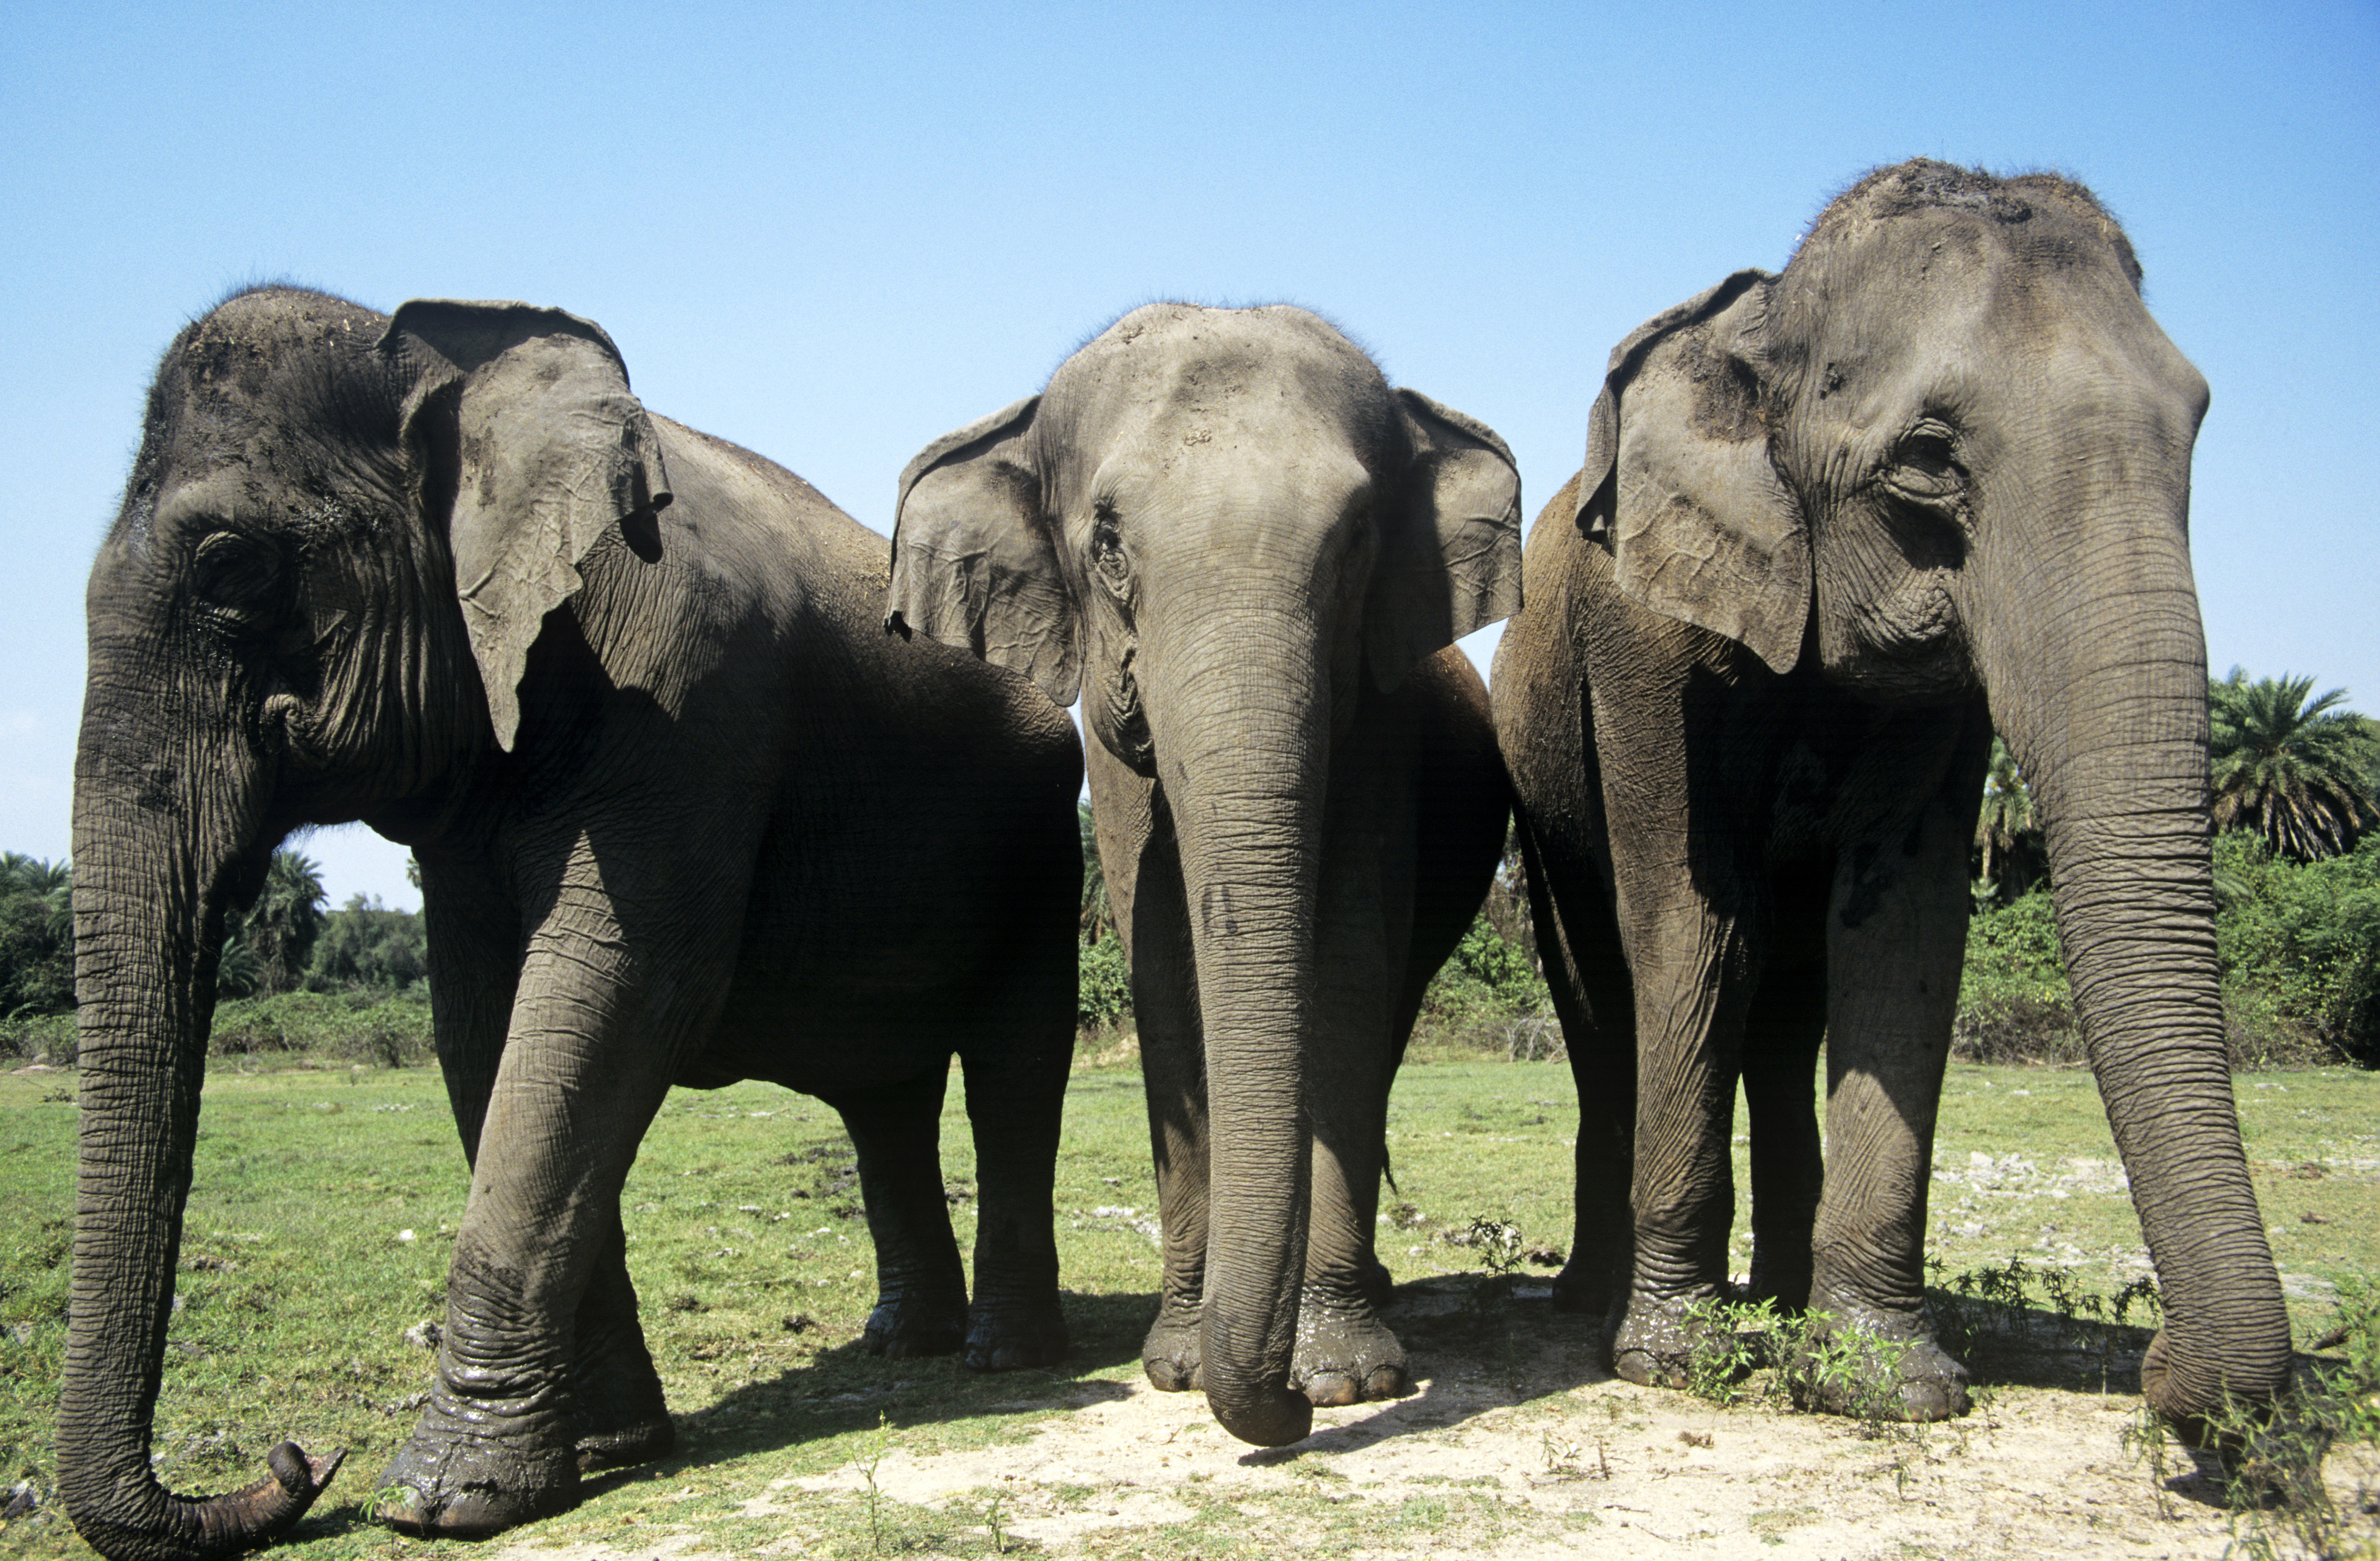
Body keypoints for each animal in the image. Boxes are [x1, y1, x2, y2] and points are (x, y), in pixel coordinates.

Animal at [62, 287, 1090, 1551]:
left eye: (230, 567)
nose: (298, 1461)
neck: (450, 366)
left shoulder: (686, 705)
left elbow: (615, 996)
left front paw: (440, 1500)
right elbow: (485, 1030)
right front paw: (605, 1450)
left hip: (1042, 846)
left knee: (1012, 1065)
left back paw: (1003, 1358)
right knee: (881, 1099)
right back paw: (904, 1344)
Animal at [885, 304, 1514, 1447]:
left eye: (1358, 539)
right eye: (1107, 544)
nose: (1290, 1414)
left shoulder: (1378, 723)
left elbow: (1346, 965)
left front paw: (1345, 1379)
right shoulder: (1109, 749)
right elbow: (1165, 969)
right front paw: (1179, 1366)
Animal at [1494, 162, 2294, 1437]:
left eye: (2198, 427)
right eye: (1926, 460)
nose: (2164, 1371)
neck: (1768, 321)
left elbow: (1901, 939)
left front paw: (1885, 1383)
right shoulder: (1642, 643)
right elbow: (1692, 926)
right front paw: (1677, 1360)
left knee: (1787, 1000)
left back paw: (1776, 1297)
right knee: (1602, 984)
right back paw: (1597, 1303)